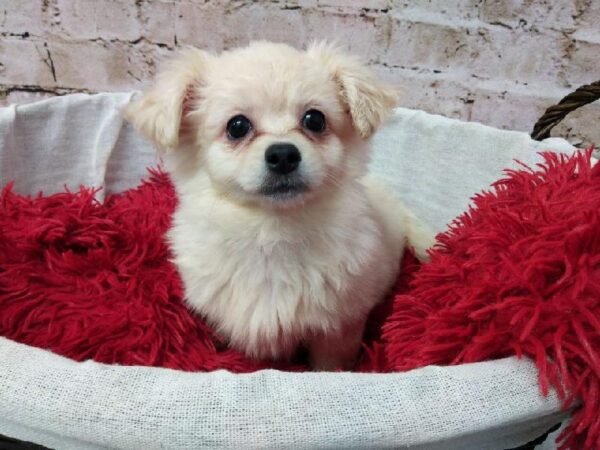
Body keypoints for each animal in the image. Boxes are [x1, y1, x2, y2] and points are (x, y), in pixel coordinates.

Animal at [124, 41, 434, 370]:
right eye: (237, 126)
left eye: (315, 119)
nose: (283, 154)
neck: (272, 229)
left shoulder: (338, 327)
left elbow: (330, 365)